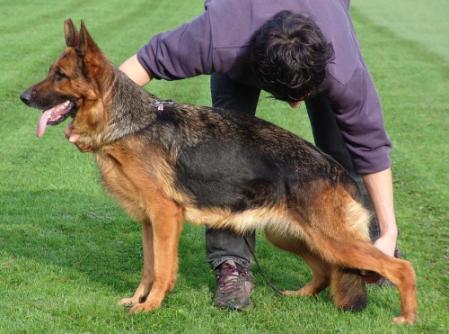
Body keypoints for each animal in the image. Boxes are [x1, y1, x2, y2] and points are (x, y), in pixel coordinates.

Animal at [19, 19, 414, 322]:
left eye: (60, 75)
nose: (22, 98)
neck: (128, 125)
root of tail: (339, 172)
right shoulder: (148, 221)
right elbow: (148, 267)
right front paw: (138, 299)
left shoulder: (165, 217)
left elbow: (162, 269)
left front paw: (151, 306)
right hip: (291, 235)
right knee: (324, 270)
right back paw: (299, 295)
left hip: (333, 240)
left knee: (401, 268)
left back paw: (406, 317)